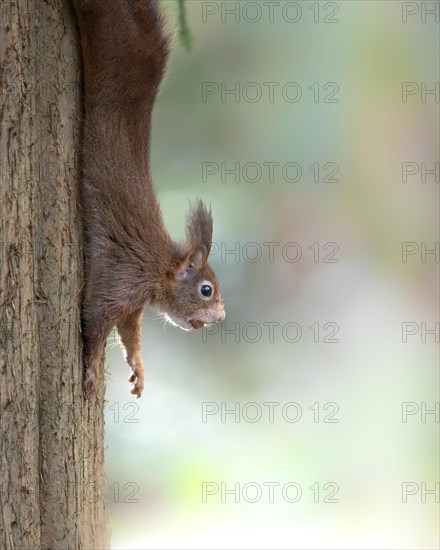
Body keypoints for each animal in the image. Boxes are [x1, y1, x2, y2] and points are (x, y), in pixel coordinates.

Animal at [72, 0, 225, 398]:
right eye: (206, 290)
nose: (221, 317)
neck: (158, 271)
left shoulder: (132, 306)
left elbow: (130, 334)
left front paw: (139, 368)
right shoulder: (121, 277)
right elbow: (94, 320)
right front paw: (91, 368)